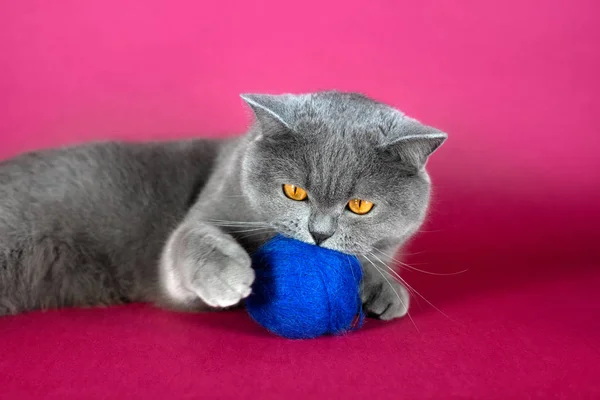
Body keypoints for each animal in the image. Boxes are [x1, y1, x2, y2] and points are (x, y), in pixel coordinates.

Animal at [0, 91, 446, 322]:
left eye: (360, 205)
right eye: (294, 192)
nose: (319, 234)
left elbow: (373, 256)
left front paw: (385, 288)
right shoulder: (199, 220)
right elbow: (190, 240)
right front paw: (227, 275)